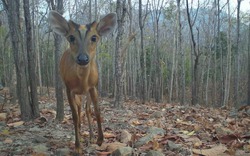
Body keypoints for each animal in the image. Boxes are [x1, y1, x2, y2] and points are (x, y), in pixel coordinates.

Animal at [48, 11, 117, 154]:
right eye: (71, 37)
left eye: (94, 38)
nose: (83, 58)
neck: (82, 82)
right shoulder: (68, 88)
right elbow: (74, 115)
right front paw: (78, 146)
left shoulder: (93, 87)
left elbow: (96, 111)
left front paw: (99, 139)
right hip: (76, 93)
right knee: (79, 109)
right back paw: (79, 130)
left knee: (86, 109)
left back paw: (90, 136)